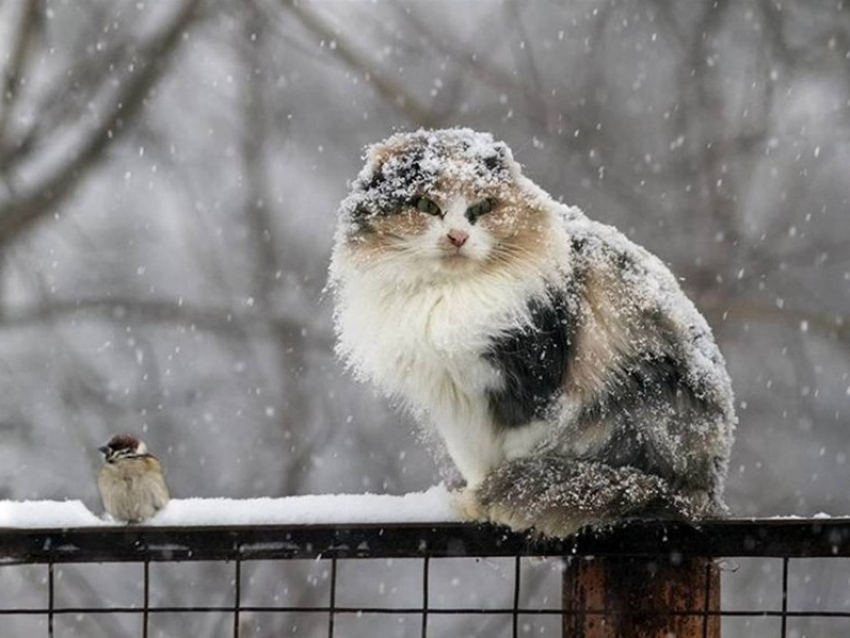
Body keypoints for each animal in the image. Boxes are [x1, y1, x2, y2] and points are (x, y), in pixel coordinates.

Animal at [328, 130, 732, 540]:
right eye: (426, 204)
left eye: (482, 207)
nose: (458, 236)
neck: (448, 297)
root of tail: (702, 493)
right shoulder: (454, 403)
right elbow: (474, 461)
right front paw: (474, 500)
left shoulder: (528, 383)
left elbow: (512, 452)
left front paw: (483, 502)